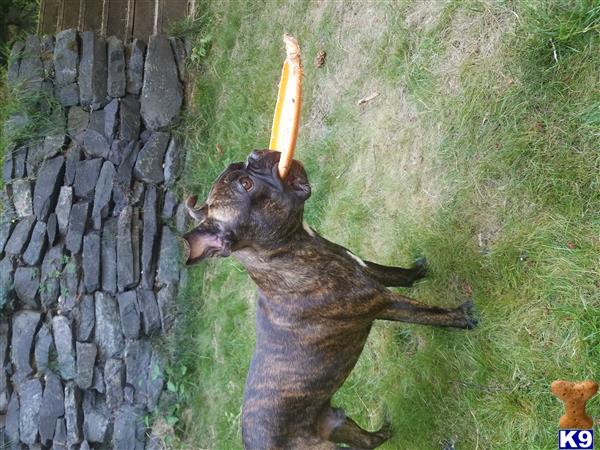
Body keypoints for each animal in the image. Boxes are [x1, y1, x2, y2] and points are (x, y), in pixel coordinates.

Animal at [185, 149, 476, 448]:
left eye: (240, 168)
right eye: (246, 185)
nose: (253, 155)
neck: (293, 253)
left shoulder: (369, 271)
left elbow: (398, 274)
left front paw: (419, 270)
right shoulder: (384, 303)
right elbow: (427, 313)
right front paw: (462, 317)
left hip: (336, 421)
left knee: (368, 440)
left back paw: (387, 430)